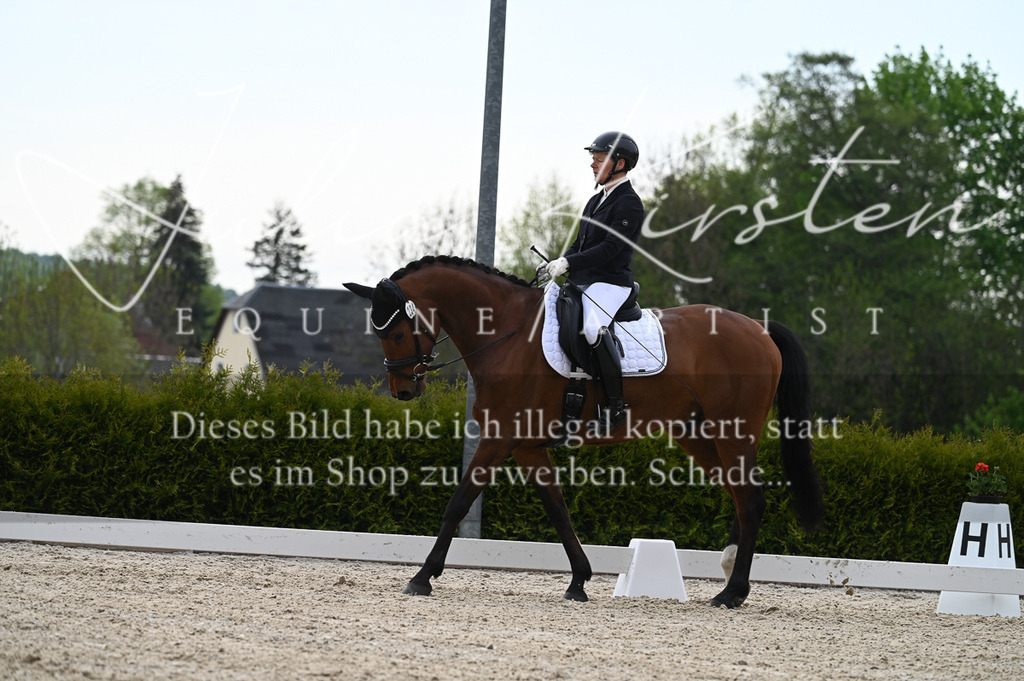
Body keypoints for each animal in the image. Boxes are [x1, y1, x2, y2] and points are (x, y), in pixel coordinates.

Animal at [344, 254, 824, 608]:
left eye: (399, 331)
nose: (404, 390)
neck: (506, 333)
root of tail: (758, 327)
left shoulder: (499, 438)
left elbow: (458, 503)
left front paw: (422, 577)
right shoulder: (526, 447)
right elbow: (558, 510)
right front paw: (579, 581)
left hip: (732, 432)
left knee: (751, 500)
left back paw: (732, 593)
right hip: (700, 436)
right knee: (740, 495)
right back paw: (728, 574)